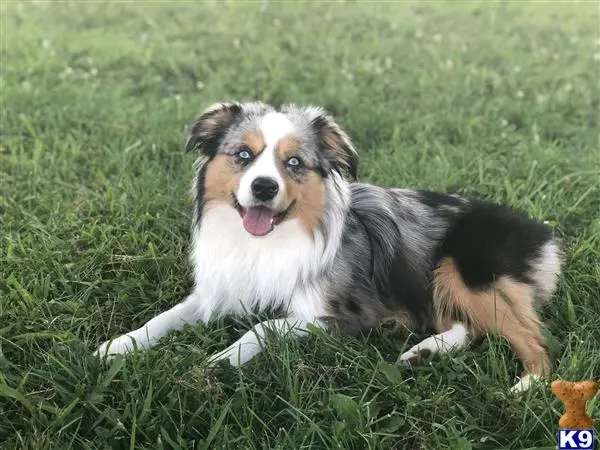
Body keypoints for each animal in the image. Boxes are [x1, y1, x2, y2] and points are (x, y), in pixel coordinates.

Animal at [95, 101, 564, 390]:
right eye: (243, 155)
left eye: (294, 163)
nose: (263, 188)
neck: (268, 240)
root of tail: (540, 232)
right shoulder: (220, 290)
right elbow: (164, 317)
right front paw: (118, 345)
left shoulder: (340, 315)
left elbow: (262, 326)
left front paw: (221, 360)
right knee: (471, 326)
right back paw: (424, 352)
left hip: (459, 268)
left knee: (533, 337)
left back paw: (528, 385)